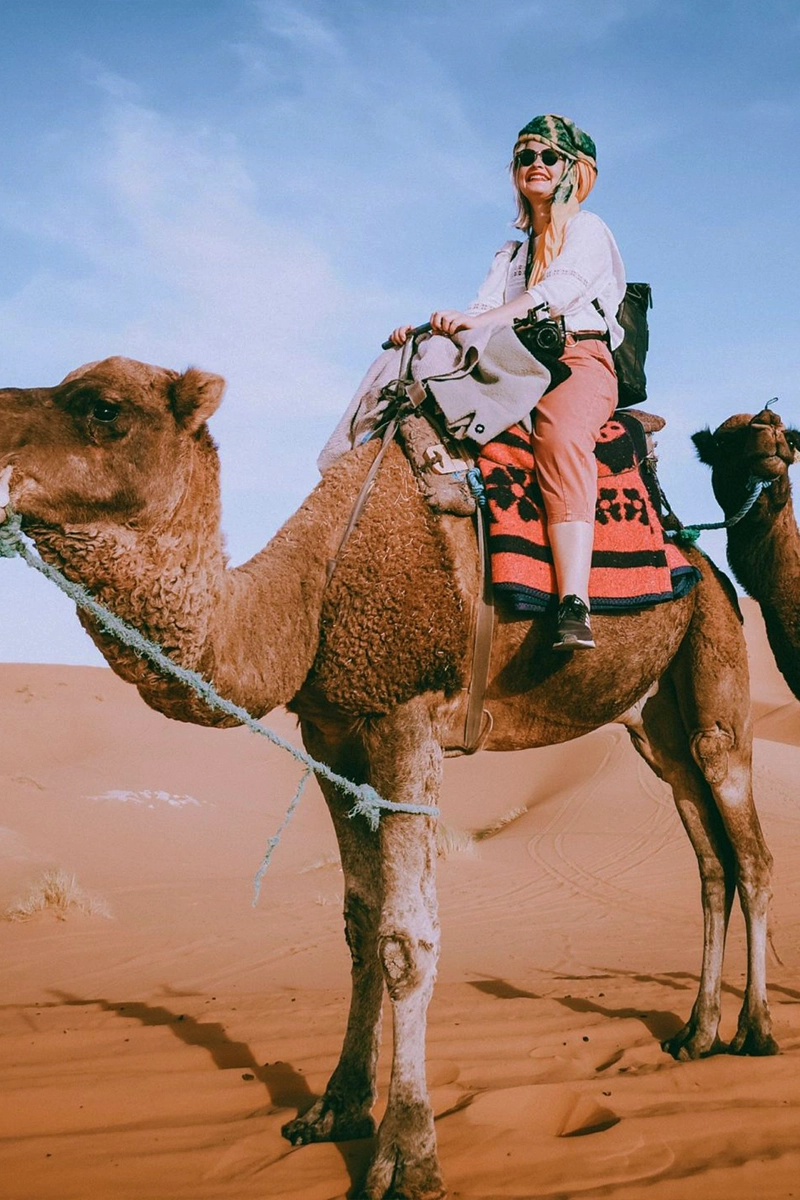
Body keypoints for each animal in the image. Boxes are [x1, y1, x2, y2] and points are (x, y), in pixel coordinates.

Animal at [0, 356, 778, 1200]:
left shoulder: (407, 713)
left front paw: (407, 1155)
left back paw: (755, 1031)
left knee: (749, 847)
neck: (307, 596)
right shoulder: (333, 736)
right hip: (651, 724)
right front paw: (335, 1109)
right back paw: (696, 1033)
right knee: (709, 858)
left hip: (715, 659)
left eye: (103, 408)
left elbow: (407, 938)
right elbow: (358, 925)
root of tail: (701, 562)